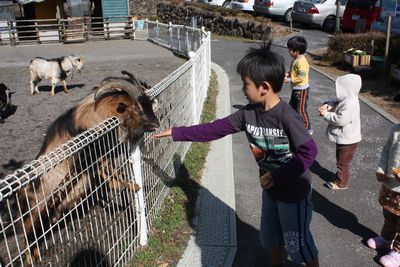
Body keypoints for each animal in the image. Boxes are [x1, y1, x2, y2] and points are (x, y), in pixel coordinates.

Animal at [15, 70, 159, 266]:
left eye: (147, 103)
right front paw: (128, 185)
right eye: (136, 108)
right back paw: (31, 259)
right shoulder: (91, 154)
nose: (156, 124)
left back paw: (37, 255)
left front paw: (131, 185)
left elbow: (110, 169)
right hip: (33, 214)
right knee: (28, 238)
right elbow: (106, 171)